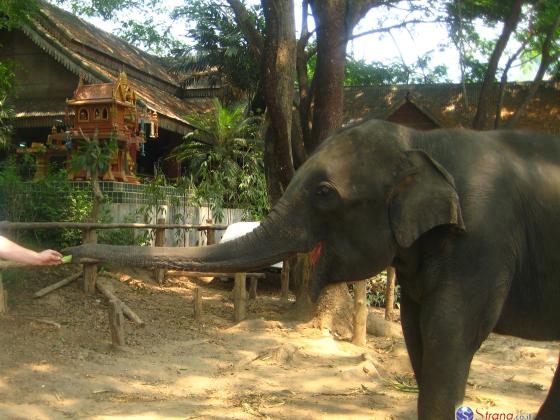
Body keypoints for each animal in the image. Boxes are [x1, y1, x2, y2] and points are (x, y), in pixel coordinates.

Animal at [69, 119, 560, 420]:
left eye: (325, 193)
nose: (73, 250)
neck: (425, 142)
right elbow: (419, 337)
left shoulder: (482, 243)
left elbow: (449, 338)